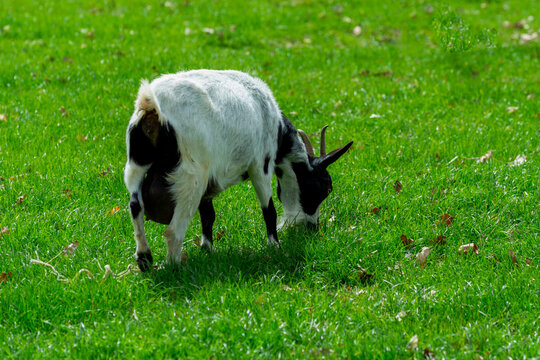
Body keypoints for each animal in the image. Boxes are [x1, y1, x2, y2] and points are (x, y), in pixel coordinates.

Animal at [125, 69, 354, 270]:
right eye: (324, 188)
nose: (312, 228)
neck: (275, 125)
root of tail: (151, 104)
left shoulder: (210, 183)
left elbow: (208, 216)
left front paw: (207, 250)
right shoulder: (260, 164)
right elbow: (268, 210)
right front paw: (275, 247)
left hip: (136, 167)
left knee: (136, 206)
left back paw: (144, 259)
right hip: (191, 176)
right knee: (172, 231)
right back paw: (174, 267)